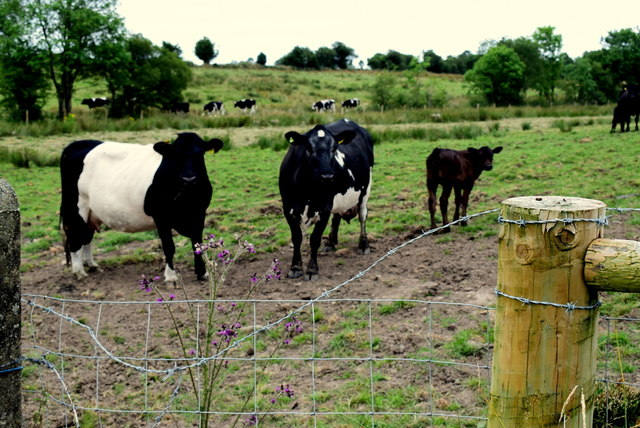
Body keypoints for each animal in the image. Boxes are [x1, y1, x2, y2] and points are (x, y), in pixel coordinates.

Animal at [60, 132, 224, 282]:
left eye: (200, 153)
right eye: (175, 156)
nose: (189, 179)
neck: (187, 201)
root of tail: (77, 144)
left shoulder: (199, 213)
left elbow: (198, 244)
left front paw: (202, 273)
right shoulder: (161, 216)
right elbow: (169, 246)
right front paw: (171, 277)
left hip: (91, 212)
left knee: (86, 235)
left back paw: (91, 264)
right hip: (76, 208)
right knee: (75, 237)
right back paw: (79, 272)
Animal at [280, 118, 376, 280]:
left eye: (334, 148)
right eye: (308, 148)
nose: (327, 176)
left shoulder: (324, 208)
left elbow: (315, 239)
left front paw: (312, 270)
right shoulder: (288, 208)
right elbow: (297, 237)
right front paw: (295, 268)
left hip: (365, 189)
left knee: (362, 216)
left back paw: (364, 245)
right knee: (336, 216)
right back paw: (331, 242)